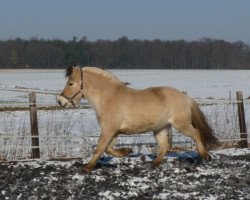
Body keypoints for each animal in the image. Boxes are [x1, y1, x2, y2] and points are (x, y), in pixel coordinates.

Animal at [57, 66, 217, 173]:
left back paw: (205, 156)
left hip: (181, 124)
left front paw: (87, 167)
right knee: (164, 146)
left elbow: (100, 148)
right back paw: (152, 165)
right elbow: (109, 148)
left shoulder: (108, 129)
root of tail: (185, 97)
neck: (108, 98)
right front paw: (127, 151)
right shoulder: (114, 131)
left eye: (70, 83)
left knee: (196, 134)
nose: (60, 101)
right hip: (160, 128)